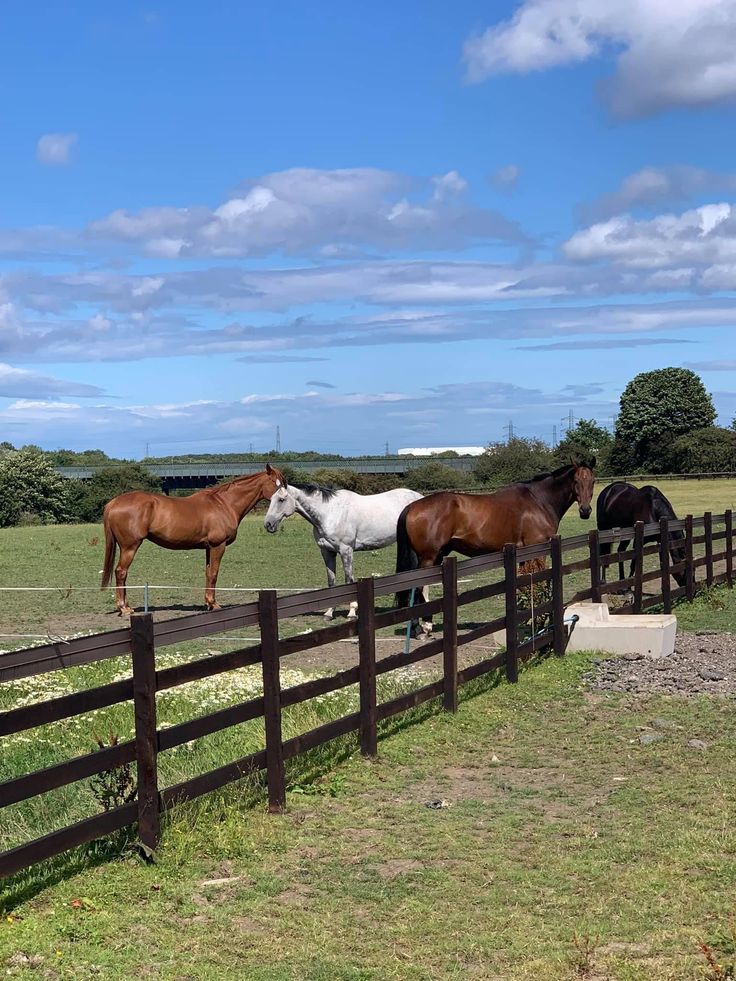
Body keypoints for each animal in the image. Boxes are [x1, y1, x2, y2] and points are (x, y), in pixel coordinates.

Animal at [101, 463, 286, 615]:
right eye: (276, 483)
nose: (285, 499)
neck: (224, 503)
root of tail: (114, 502)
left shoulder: (209, 548)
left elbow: (208, 573)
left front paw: (208, 602)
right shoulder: (218, 546)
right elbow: (214, 573)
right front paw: (214, 604)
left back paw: (126, 606)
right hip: (130, 547)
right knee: (121, 572)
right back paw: (124, 608)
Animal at [263, 483, 423, 619]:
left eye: (281, 499)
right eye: (271, 499)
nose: (268, 524)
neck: (330, 513)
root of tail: (419, 498)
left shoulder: (346, 551)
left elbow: (348, 580)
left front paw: (352, 612)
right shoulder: (327, 552)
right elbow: (331, 582)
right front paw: (329, 612)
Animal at [395, 460, 596, 612]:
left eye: (593, 481)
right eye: (576, 481)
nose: (585, 510)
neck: (539, 501)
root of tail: (411, 506)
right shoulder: (537, 550)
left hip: (438, 556)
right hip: (428, 558)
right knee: (419, 589)